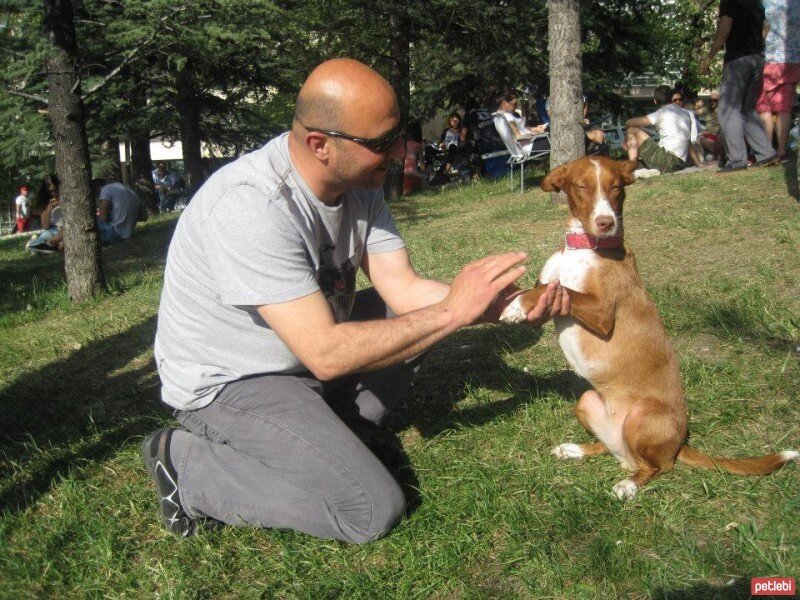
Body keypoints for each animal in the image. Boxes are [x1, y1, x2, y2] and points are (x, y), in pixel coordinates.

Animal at [500, 156, 792, 502]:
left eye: (616, 187)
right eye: (582, 186)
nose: (606, 223)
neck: (582, 249)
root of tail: (679, 445)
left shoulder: (602, 312)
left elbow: (562, 289)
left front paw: (516, 306)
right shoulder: (549, 302)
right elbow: (546, 286)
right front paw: (513, 302)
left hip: (642, 419)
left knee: (655, 467)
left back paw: (629, 484)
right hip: (586, 401)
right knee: (610, 449)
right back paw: (575, 450)